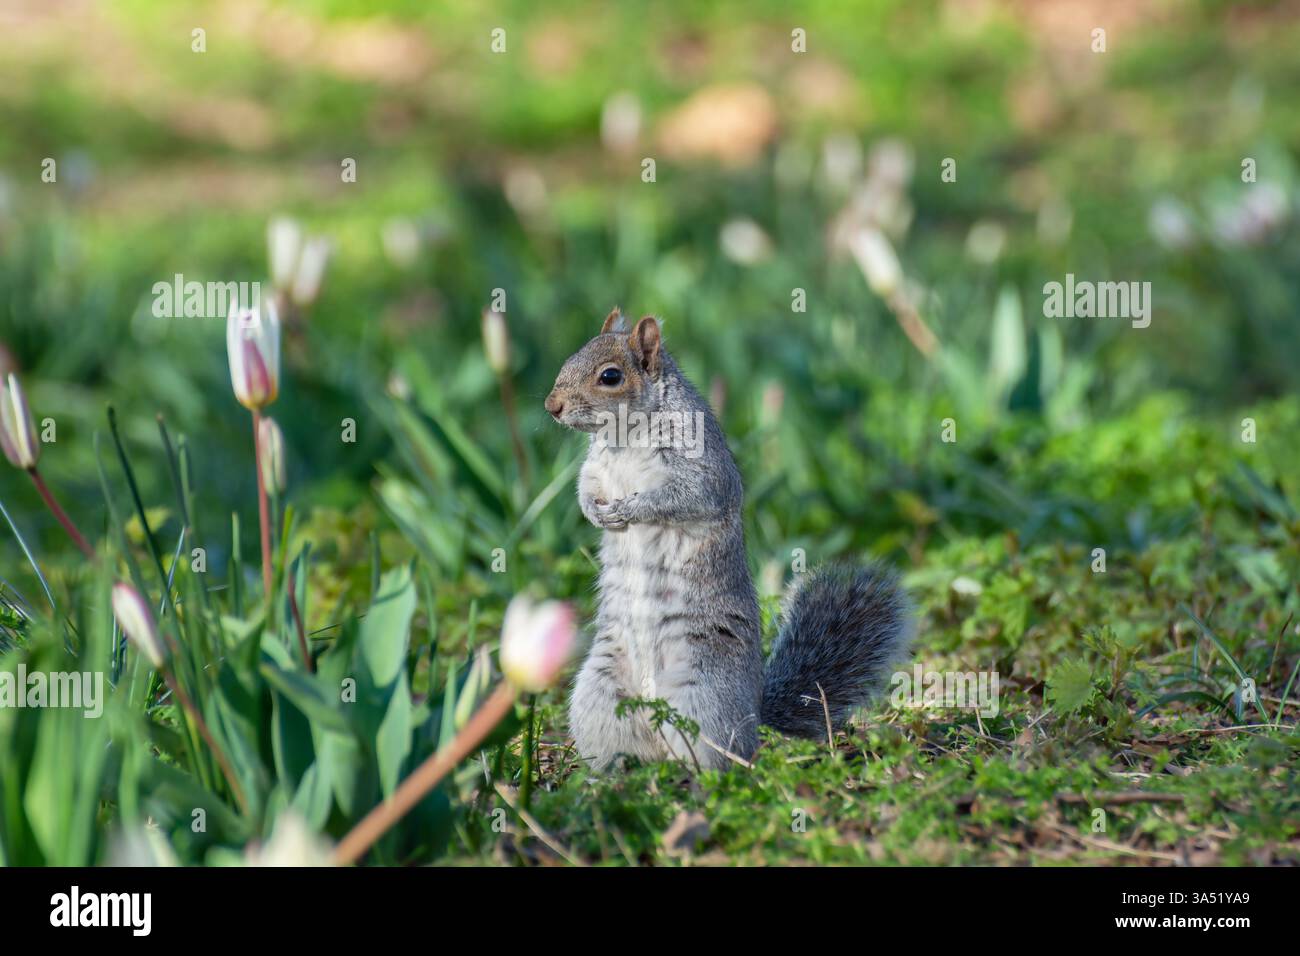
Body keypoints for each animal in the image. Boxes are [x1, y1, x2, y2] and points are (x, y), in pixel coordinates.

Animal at [544, 307, 913, 770]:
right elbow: (584, 487)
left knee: (721, 755)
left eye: (610, 376)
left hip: (704, 693)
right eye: (570, 357)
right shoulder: (596, 469)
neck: (625, 435)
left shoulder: (701, 467)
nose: (551, 406)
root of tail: (754, 714)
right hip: (599, 693)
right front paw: (595, 512)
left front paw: (631, 509)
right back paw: (615, 773)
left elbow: (686, 497)